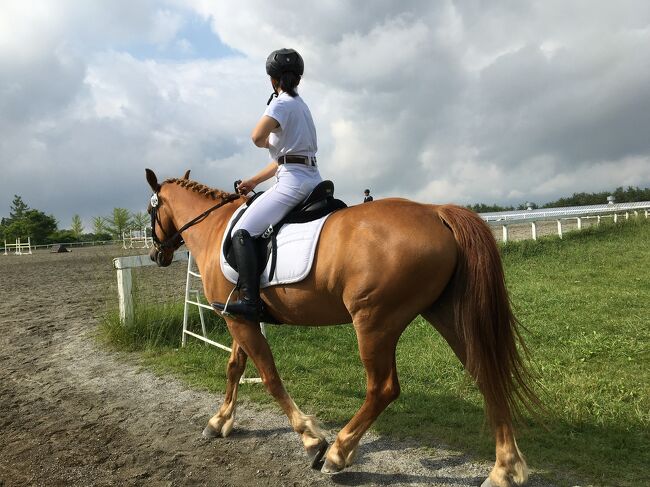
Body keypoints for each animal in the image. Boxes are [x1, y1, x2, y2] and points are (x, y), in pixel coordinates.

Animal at [146, 169, 536, 487]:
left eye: (151, 212)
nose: (155, 256)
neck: (217, 227)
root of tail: (435, 211)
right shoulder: (239, 317)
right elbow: (235, 368)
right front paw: (219, 420)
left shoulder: (239, 320)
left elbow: (269, 377)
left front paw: (310, 439)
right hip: (446, 314)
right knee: (485, 372)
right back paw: (505, 469)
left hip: (374, 323)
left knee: (383, 388)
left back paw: (337, 453)